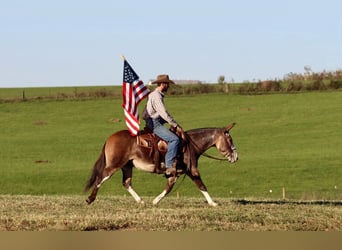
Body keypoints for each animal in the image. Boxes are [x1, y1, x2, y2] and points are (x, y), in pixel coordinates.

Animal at [84, 122, 238, 206]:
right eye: (230, 139)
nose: (236, 157)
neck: (190, 145)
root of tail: (110, 138)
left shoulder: (176, 173)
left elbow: (169, 187)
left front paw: (155, 201)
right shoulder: (192, 171)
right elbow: (201, 185)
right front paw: (213, 203)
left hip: (127, 166)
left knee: (126, 183)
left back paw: (141, 201)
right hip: (114, 165)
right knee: (101, 178)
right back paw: (90, 199)